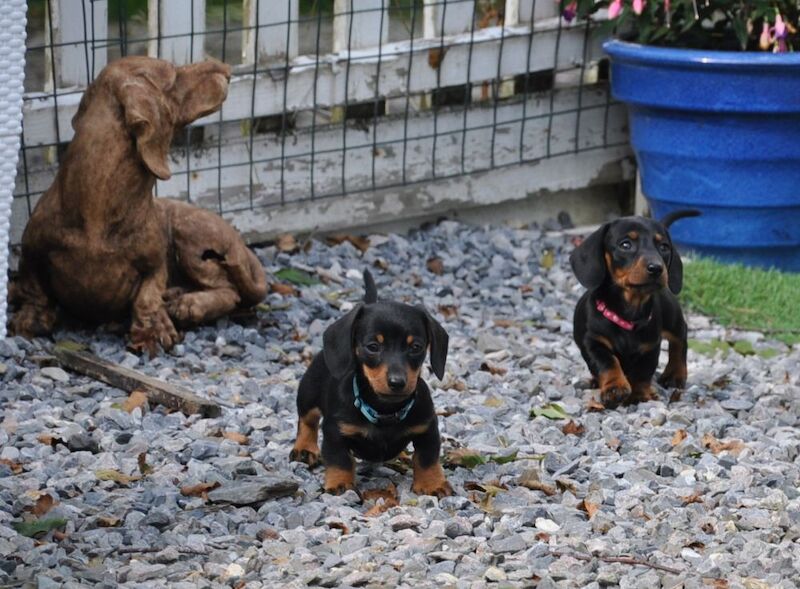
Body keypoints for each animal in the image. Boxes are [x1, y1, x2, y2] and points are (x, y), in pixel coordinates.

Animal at [288, 272, 454, 496]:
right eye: (373, 346)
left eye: (416, 347)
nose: (397, 382)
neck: (385, 410)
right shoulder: (335, 430)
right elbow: (339, 459)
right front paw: (340, 483)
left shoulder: (427, 428)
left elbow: (427, 457)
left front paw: (432, 484)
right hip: (308, 393)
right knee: (307, 421)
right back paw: (305, 448)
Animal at [568, 211, 700, 408]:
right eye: (625, 244)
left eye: (664, 247)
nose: (656, 268)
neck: (629, 313)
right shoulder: (593, 342)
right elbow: (608, 362)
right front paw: (615, 388)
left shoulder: (650, 347)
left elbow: (642, 373)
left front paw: (638, 394)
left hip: (672, 316)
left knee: (680, 338)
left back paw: (675, 374)